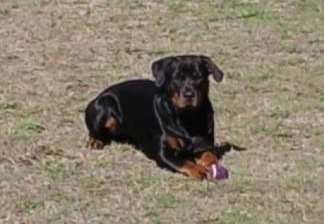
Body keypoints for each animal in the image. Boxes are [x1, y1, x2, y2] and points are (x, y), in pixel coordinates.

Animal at [85, 54, 244, 180]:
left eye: (198, 77)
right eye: (176, 78)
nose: (189, 94)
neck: (187, 117)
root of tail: (99, 95)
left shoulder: (203, 145)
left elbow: (210, 156)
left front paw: (211, 164)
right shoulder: (162, 151)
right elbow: (183, 162)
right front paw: (198, 170)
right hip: (104, 105)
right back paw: (95, 142)